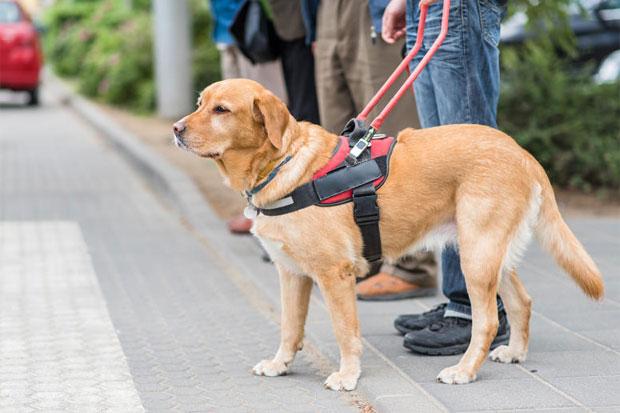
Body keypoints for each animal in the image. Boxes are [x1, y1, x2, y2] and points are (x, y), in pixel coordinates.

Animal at [173, 79, 604, 390]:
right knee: (521, 302)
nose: (175, 129)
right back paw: (514, 353)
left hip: (476, 256)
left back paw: (464, 370)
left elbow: (345, 332)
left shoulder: (335, 275)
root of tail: (522, 152)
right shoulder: (292, 274)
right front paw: (281, 364)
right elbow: (290, 327)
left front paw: (348, 375)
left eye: (221, 110)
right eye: (200, 102)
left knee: (486, 322)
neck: (284, 162)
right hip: (488, 252)